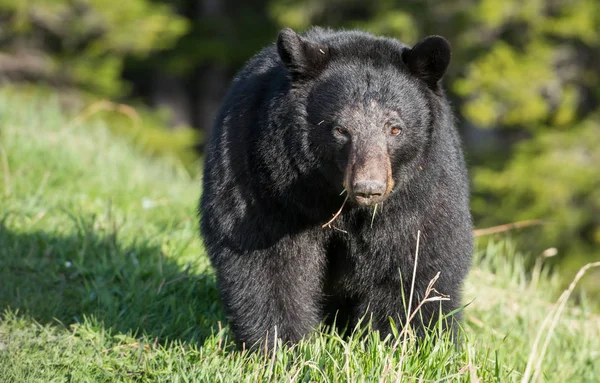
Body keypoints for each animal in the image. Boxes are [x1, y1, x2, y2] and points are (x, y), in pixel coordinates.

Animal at [202, 27, 474, 352]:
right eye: (341, 129)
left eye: (395, 128)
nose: (369, 188)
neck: (336, 200)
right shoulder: (266, 184)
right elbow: (267, 263)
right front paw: (280, 346)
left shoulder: (421, 194)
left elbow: (416, 263)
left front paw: (408, 344)